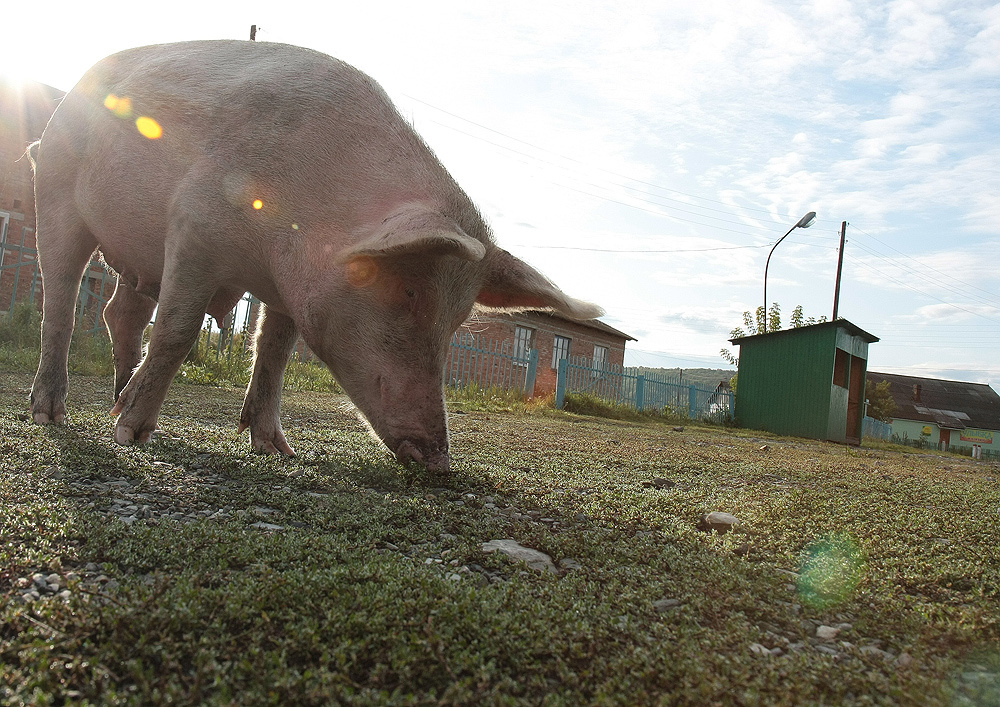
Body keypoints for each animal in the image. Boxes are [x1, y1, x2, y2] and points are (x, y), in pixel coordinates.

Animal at [28, 40, 601, 473]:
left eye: (458, 320)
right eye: (408, 293)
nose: (440, 460)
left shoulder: (286, 289)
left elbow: (274, 351)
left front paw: (277, 450)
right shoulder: (195, 225)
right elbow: (178, 329)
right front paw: (129, 435)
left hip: (135, 258)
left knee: (119, 313)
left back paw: (115, 397)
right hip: (55, 190)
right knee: (60, 299)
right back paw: (54, 416)